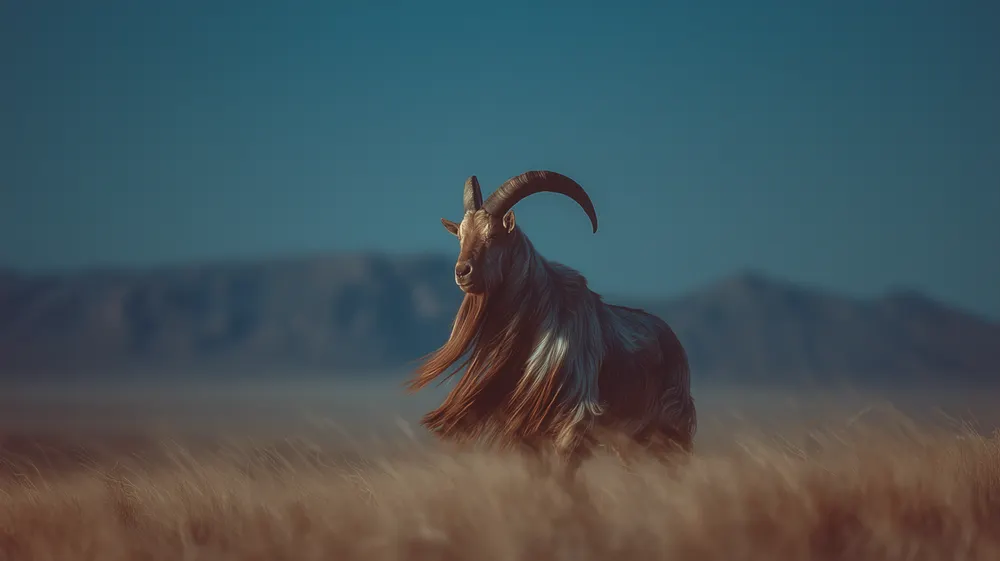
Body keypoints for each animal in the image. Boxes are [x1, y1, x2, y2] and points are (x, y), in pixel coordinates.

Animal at [406, 170, 696, 475]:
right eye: (460, 237)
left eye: (493, 235)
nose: (462, 271)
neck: (539, 324)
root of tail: (672, 339)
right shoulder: (529, 429)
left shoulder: (575, 419)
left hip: (671, 427)